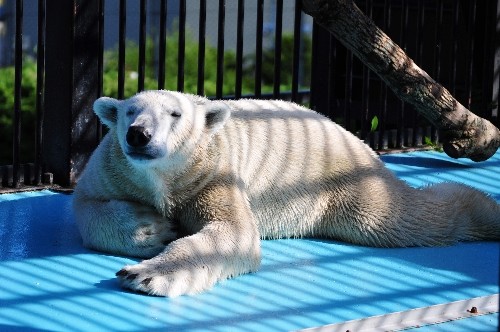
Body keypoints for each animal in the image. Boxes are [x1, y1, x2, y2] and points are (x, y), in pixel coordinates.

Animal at [73, 89, 500, 296]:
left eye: (175, 114)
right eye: (130, 112)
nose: (138, 135)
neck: (165, 176)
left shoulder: (214, 175)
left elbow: (232, 233)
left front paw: (143, 275)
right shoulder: (114, 168)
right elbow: (85, 206)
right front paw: (151, 228)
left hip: (342, 181)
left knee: (404, 218)